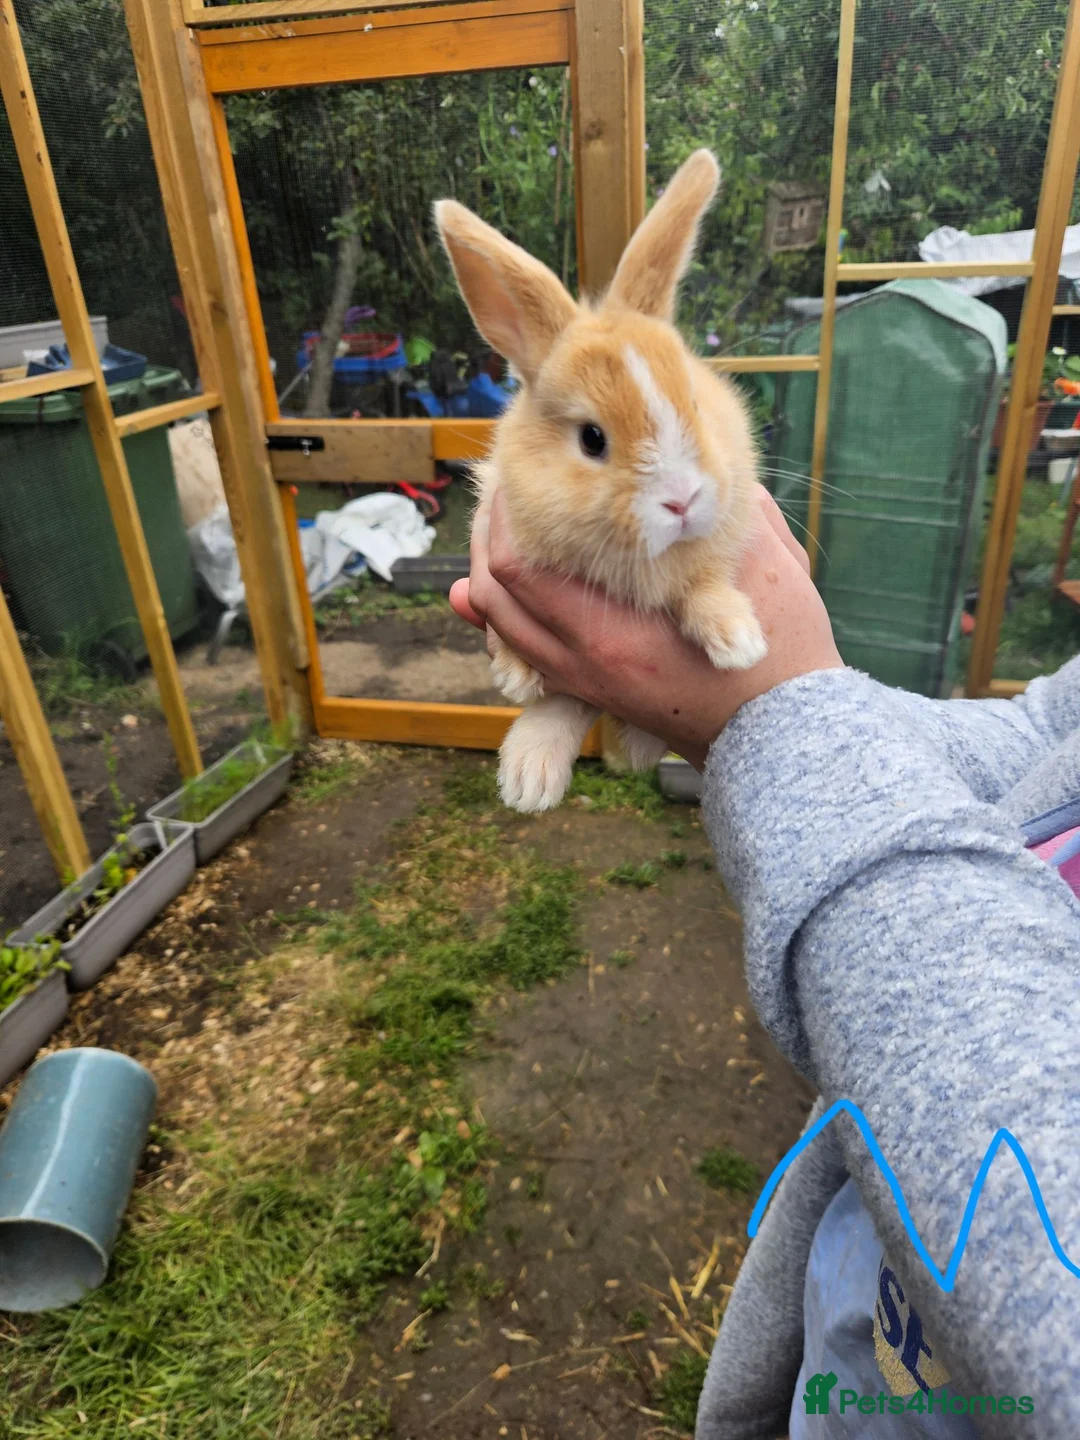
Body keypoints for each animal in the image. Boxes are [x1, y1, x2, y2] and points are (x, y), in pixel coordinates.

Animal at [434, 148, 765, 814]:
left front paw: (738, 640)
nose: (682, 500)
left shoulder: (718, 547)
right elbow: (547, 684)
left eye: (694, 402)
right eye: (592, 439)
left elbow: (704, 586)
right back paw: (529, 780)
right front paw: (515, 675)